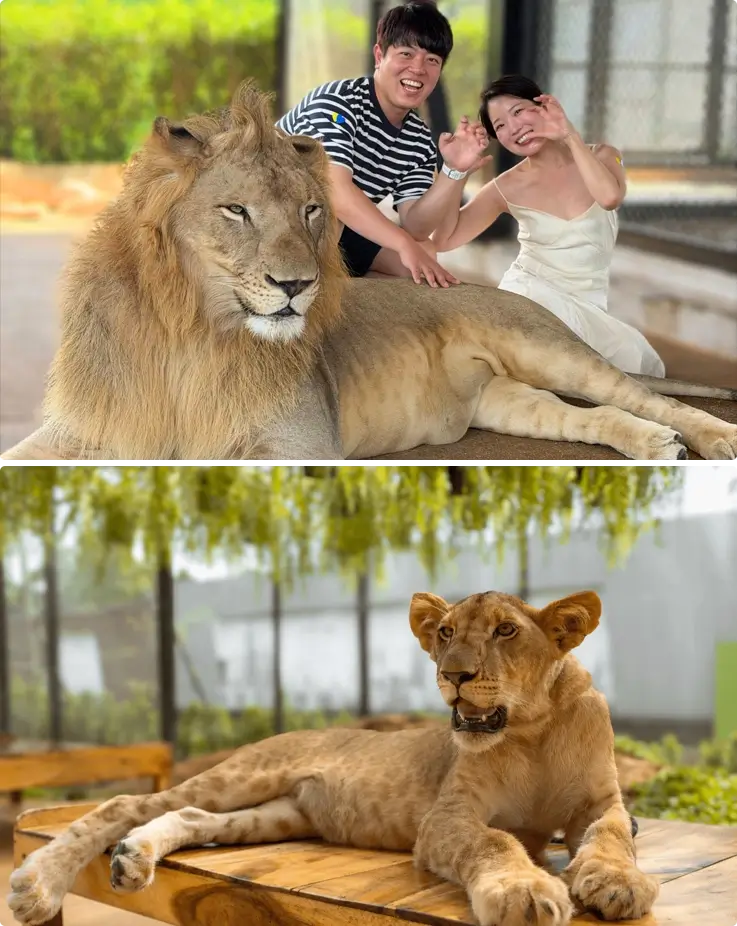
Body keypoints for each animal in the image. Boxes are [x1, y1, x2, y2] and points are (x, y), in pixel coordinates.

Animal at [1, 81, 735, 464]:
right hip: (506, 399)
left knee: (646, 397)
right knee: (587, 416)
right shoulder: (88, 427)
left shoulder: (298, 444)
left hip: (549, 348)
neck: (187, 334)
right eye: (236, 211)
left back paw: (705, 439)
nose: (297, 286)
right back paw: (653, 446)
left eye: (310, 211)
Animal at [7, 588, 659, 926]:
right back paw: (37, 885)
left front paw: (617, 883)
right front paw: (524, 892)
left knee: (190, 818)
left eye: (505, 631)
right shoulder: (448, 818)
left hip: (278, 814)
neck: (531, 730)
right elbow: (494, 842)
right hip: (242, 775)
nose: (454, 675)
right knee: (126, 801)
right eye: (446, 632)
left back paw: (132, 859)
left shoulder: (603, 802)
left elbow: (612, 836)